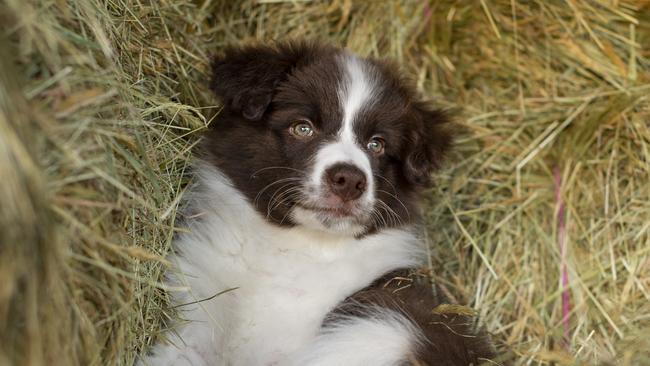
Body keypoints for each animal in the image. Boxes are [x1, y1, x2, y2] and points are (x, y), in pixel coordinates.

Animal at [140, 40, 496, 366]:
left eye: (377, 145)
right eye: (303, 127)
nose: (349, 180)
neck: (294, 250)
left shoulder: (403, 313)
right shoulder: (194, 322)